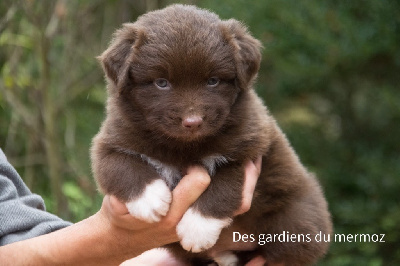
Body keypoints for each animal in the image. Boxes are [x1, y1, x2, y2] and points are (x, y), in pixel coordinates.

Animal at [91, 4, 332, 266]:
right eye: (161, 82)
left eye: (213, 81)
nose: (193, 122)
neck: (183, 146)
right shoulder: (111, 138)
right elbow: (118, 164)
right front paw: (150, 199)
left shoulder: (248, 147)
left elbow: (223, 185)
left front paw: (197, 228)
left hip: (296, 223)